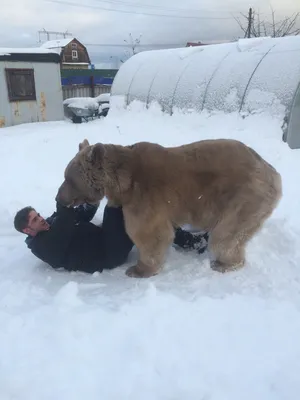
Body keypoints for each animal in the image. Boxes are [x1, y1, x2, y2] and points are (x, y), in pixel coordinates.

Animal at [55, 138, 282, 278]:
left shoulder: (144, 196)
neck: (123, 181)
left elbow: (150, 233)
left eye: (69, 178)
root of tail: (273, 172)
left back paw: (224, 263)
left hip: (242, 197)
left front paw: (137, 269)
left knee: (226, 235)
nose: (58, 197)